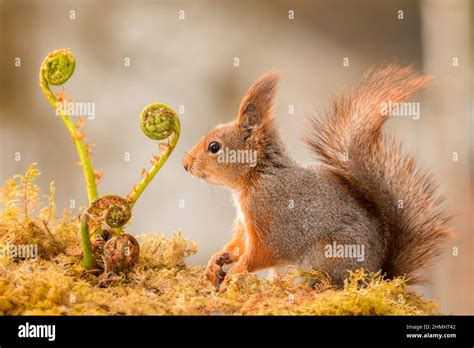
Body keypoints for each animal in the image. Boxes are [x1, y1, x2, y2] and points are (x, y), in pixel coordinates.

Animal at [182, 66, 452, 290]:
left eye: (214, 147)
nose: (185, 165)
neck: (256, 176)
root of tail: (376, 277)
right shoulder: (245, 225)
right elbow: (239, 245)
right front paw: (217, 261)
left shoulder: (272, 219)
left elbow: (263, 252)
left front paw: (235, 272)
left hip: (326, 256)